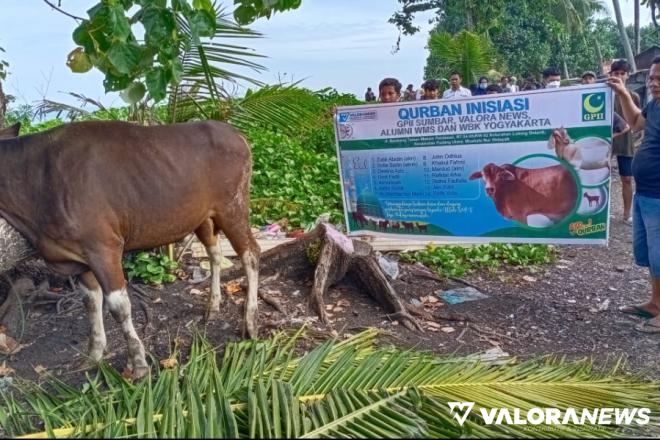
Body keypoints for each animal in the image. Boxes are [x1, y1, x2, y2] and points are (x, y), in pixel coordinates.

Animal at [0, 120, 260, 378]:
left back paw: (250, 322)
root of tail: (235, 133)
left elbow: (119, 306)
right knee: (215, 253)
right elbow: (90, 302)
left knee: (251, 253)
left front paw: (139, 364)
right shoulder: (78, 256)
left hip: (233, 206)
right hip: (203, 216)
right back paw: (213, 306)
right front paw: (93, 354)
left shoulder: (104, 247)